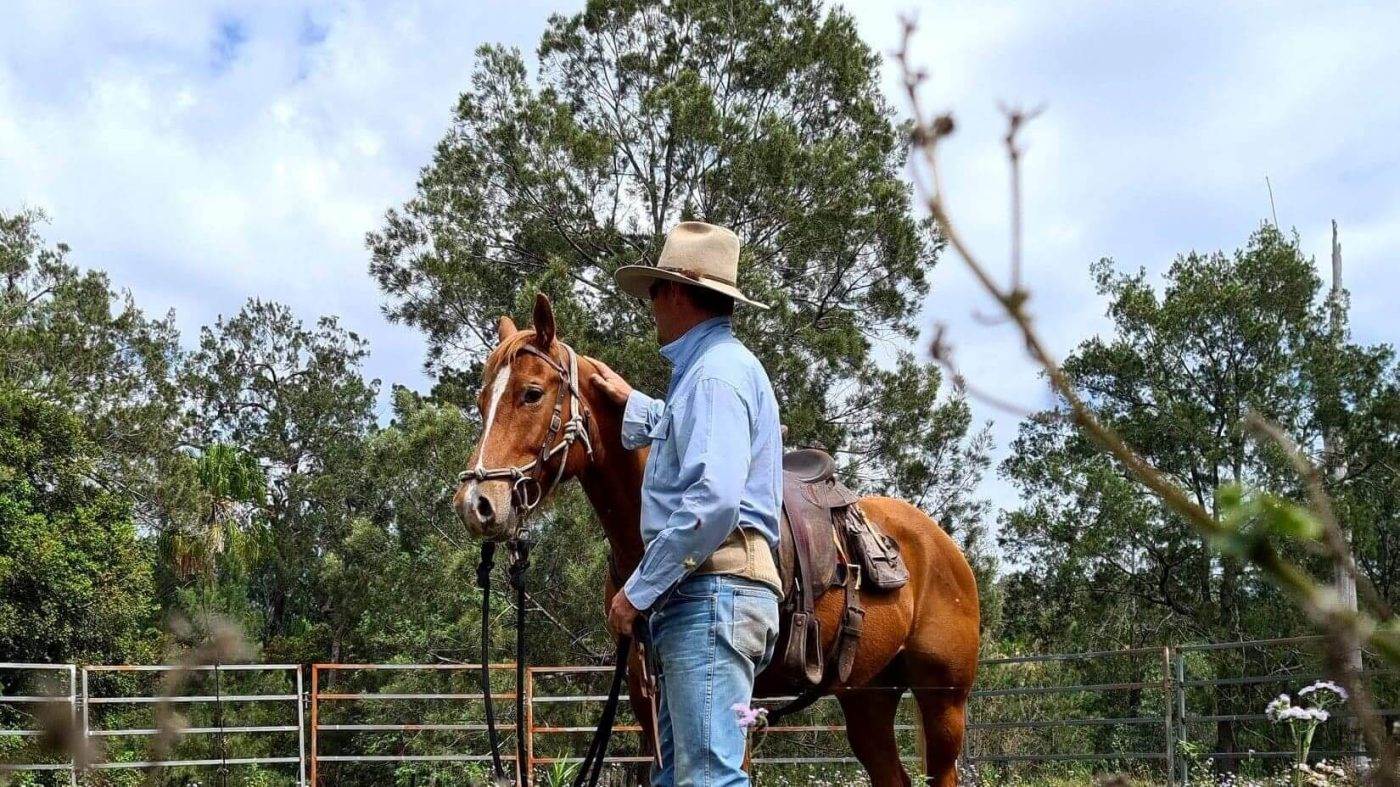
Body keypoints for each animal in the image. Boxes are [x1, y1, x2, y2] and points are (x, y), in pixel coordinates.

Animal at [453, 295, 980, 784]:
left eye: (531, 393)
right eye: (481, 403)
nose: (476, 504)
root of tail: (944, 548)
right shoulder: (648, 694)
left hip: (943, 702)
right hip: (868, 697)